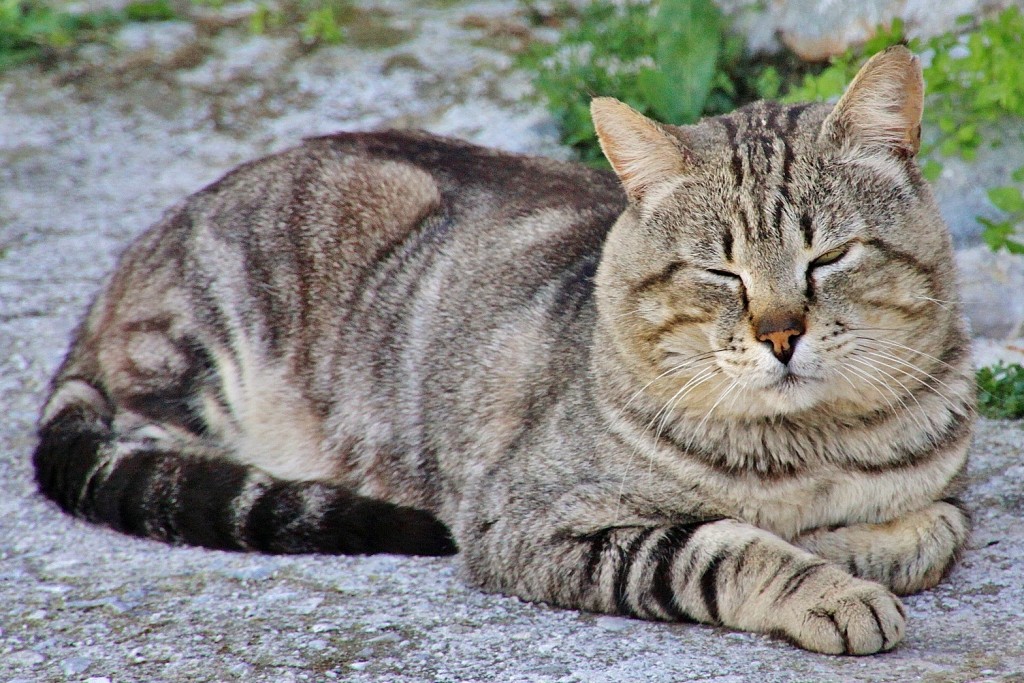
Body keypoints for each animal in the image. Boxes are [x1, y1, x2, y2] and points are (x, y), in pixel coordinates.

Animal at [34, 45, 974, 655]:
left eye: (829, 257)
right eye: (720, 271)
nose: (781, 334)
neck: (811, 448)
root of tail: (133, 255)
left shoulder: (948, 491)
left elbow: (933, 530)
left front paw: (841, 544)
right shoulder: (526, 519)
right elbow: (717, 545)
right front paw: (826, 583)